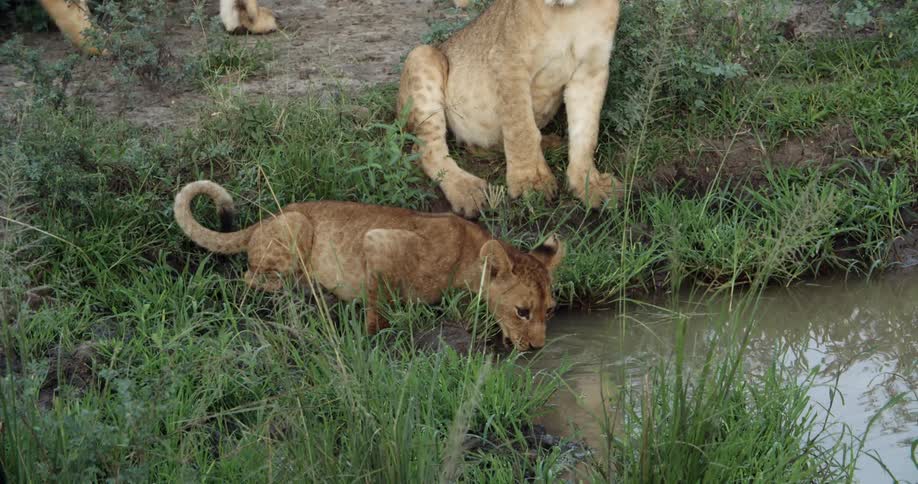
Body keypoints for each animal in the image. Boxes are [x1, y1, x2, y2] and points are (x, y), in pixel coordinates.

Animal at [174, 180, 565, 351]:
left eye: (549, 310)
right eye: (522, 311)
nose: (537, 348)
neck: (469, 255)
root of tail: (264, 219)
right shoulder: (378, 241)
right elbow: (381, 302)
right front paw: (375, 333)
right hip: (297, 225)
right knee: (250, 275)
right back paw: (311, 290)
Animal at [398, 0, 623, 218]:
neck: (570, 12)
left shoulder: (592, 70)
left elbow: (586, 134)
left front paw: (590, 183)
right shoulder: (509, 61)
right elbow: (521, 129)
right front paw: (529, 182)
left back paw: (551, 144)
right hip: (422, 55)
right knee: (425, 150)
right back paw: (468, 191)